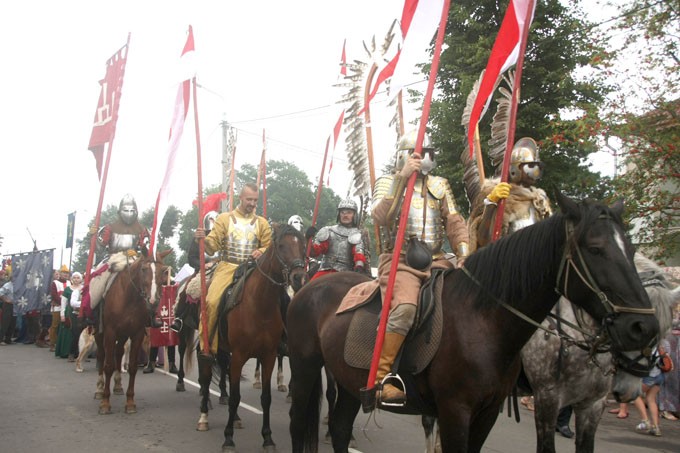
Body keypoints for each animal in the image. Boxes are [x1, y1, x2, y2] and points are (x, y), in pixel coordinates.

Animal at [93, 249, 169, 414]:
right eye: (144, 269)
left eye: (162, 271)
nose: (153, 301)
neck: (129, 298)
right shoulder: (110, 332)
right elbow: (108, 365)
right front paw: (105, 403)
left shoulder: (137, 334)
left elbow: (133, 367)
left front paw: (130, 402)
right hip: (99, 334)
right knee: (101, 356)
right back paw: (99, 389)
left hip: (123, 335)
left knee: (119, 353)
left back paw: (118, 386)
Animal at [194, 223, 306, 452]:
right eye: (281, 246)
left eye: (302, 245)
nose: (299, 278)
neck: (259, 305)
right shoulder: (239, 355)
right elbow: (236, 396)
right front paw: (228, 439)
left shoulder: (268, 356)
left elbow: (266, 398)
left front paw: (268, 438)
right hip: (209, 345)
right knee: (206, 375)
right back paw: (204, 418)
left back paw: (235, 418)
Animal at [286, 192, 660, 450]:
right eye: (595, 248)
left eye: (630, 249)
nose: (643, 328)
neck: (484, 322)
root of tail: (311, 286)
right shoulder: (457, 411)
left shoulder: (489, 413)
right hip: (305, 367)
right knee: (296, 422)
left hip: (349, 381)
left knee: (339, 429)